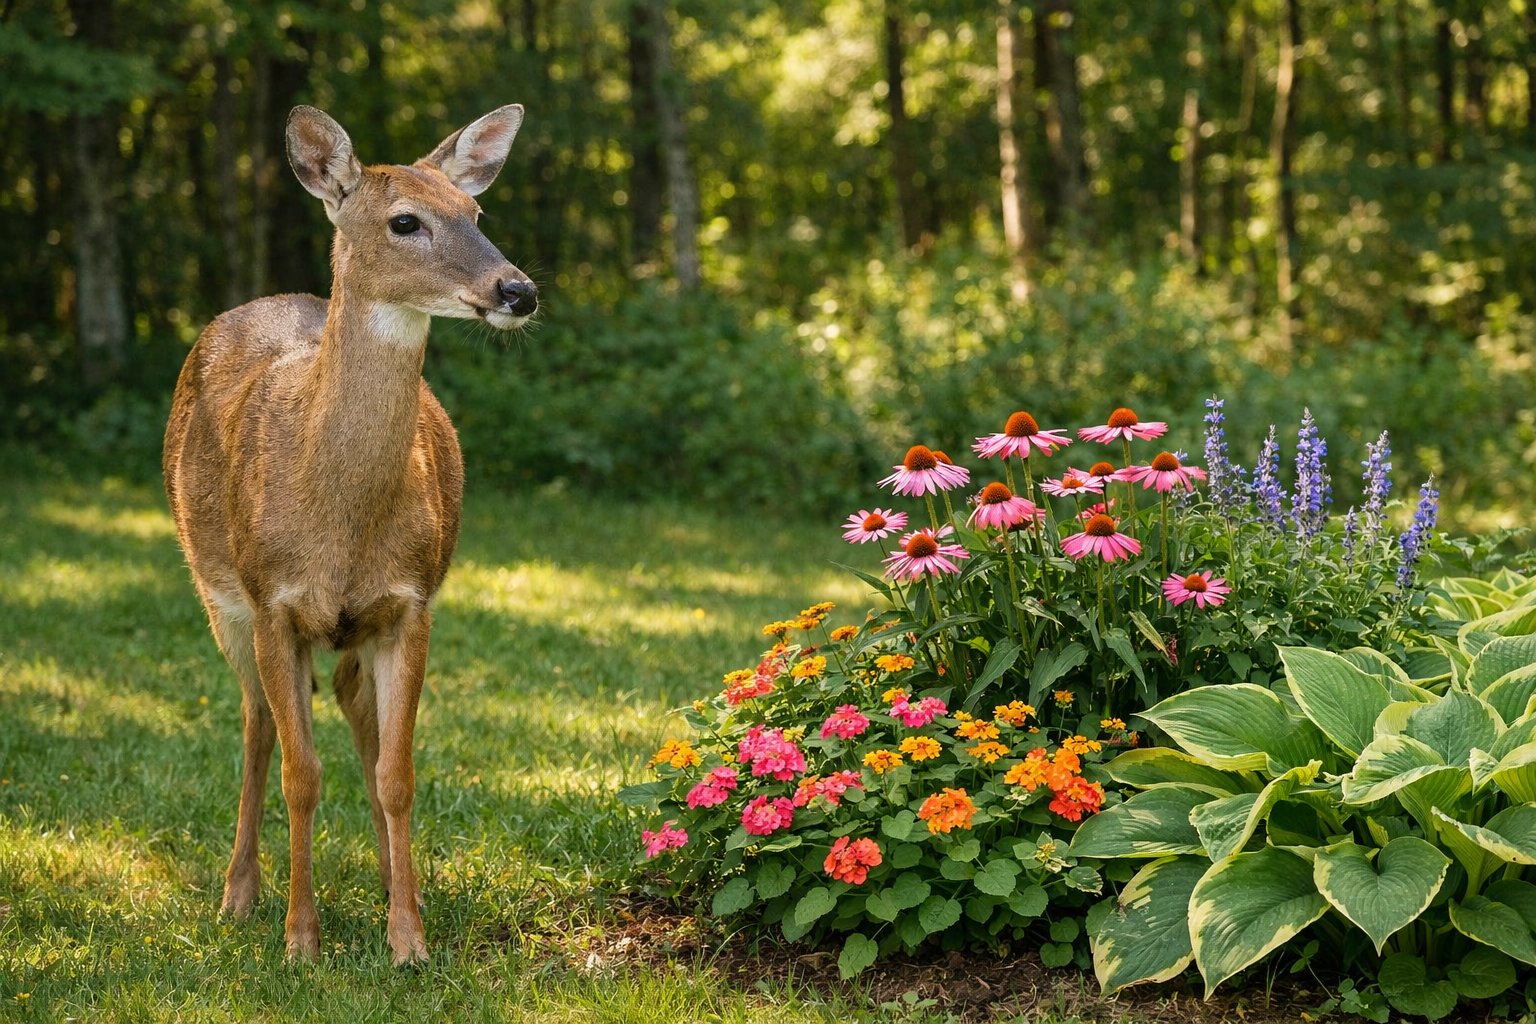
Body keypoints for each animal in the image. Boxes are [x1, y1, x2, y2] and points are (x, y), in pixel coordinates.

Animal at [162, 103, 535, 963]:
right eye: (405, 221)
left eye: (476, 214)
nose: (518, 290)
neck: (339, 517)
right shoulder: (272, 601)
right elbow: (301, 774)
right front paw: (301, 941)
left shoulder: (409, 603)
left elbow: (397, 772)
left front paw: (409, 939)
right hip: (217, 595)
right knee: (256, 727)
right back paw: (239, 896)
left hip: (352, 628)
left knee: (353, 713)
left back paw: (397, 884)